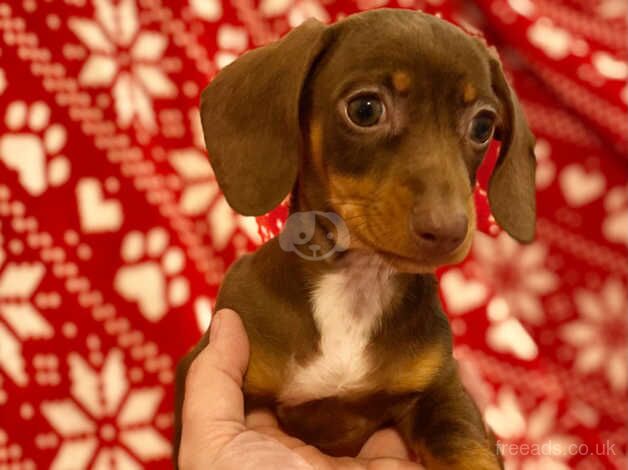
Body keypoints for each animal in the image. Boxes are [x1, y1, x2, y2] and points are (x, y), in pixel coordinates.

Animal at [175, 8, 536, 470]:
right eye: (365, 109)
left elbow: (469, 449)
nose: (448, 231)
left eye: (484, 125)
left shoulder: (441, 392)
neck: (358, 281)